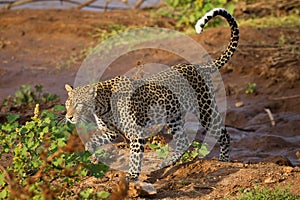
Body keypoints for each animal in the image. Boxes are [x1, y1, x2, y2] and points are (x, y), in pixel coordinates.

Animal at [65, 7, 239, 181]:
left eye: (78, 104)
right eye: (68, 104)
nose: (68, 117)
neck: (101, 108)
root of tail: (200, 66)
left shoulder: (135, 132)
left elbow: (135, 155)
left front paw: (132, 175)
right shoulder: (111, 132)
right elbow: (93, 141)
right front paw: (92, 156)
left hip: (205, 109)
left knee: (223, 133)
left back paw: (224, 159)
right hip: (174, 116)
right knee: (182, 140)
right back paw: (168, 162)